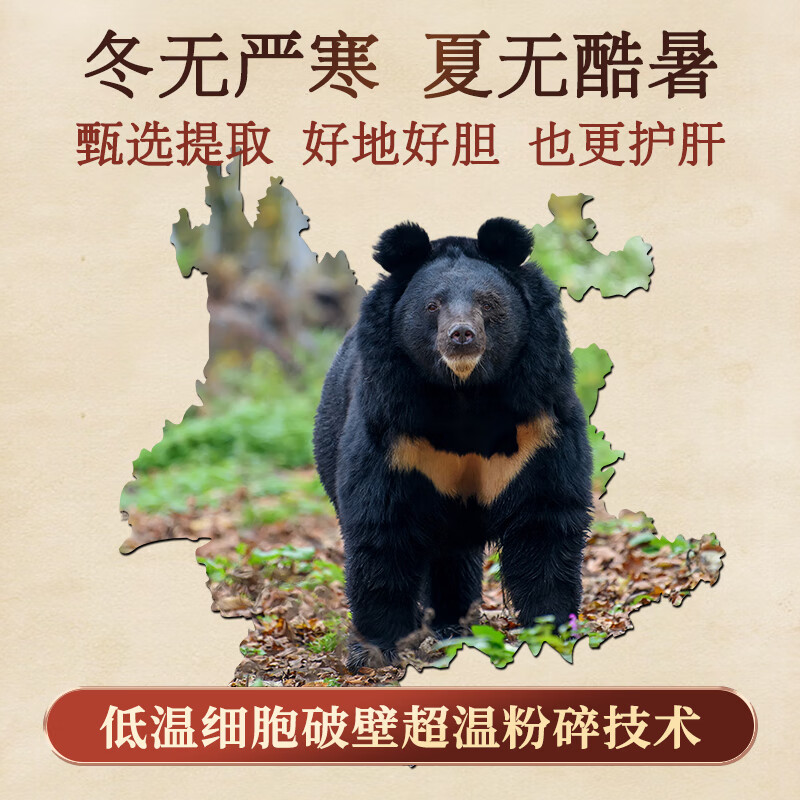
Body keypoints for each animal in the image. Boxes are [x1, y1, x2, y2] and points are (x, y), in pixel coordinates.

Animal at [313, 217, 592, 671]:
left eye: (488, 303)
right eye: (432, 306)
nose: (462, 336)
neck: (465, 393)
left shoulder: (539, 421)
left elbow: (545, 519)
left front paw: (552, 628)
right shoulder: (393, 429)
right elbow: (382, 525)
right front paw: (376, 651)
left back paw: (455, 626)